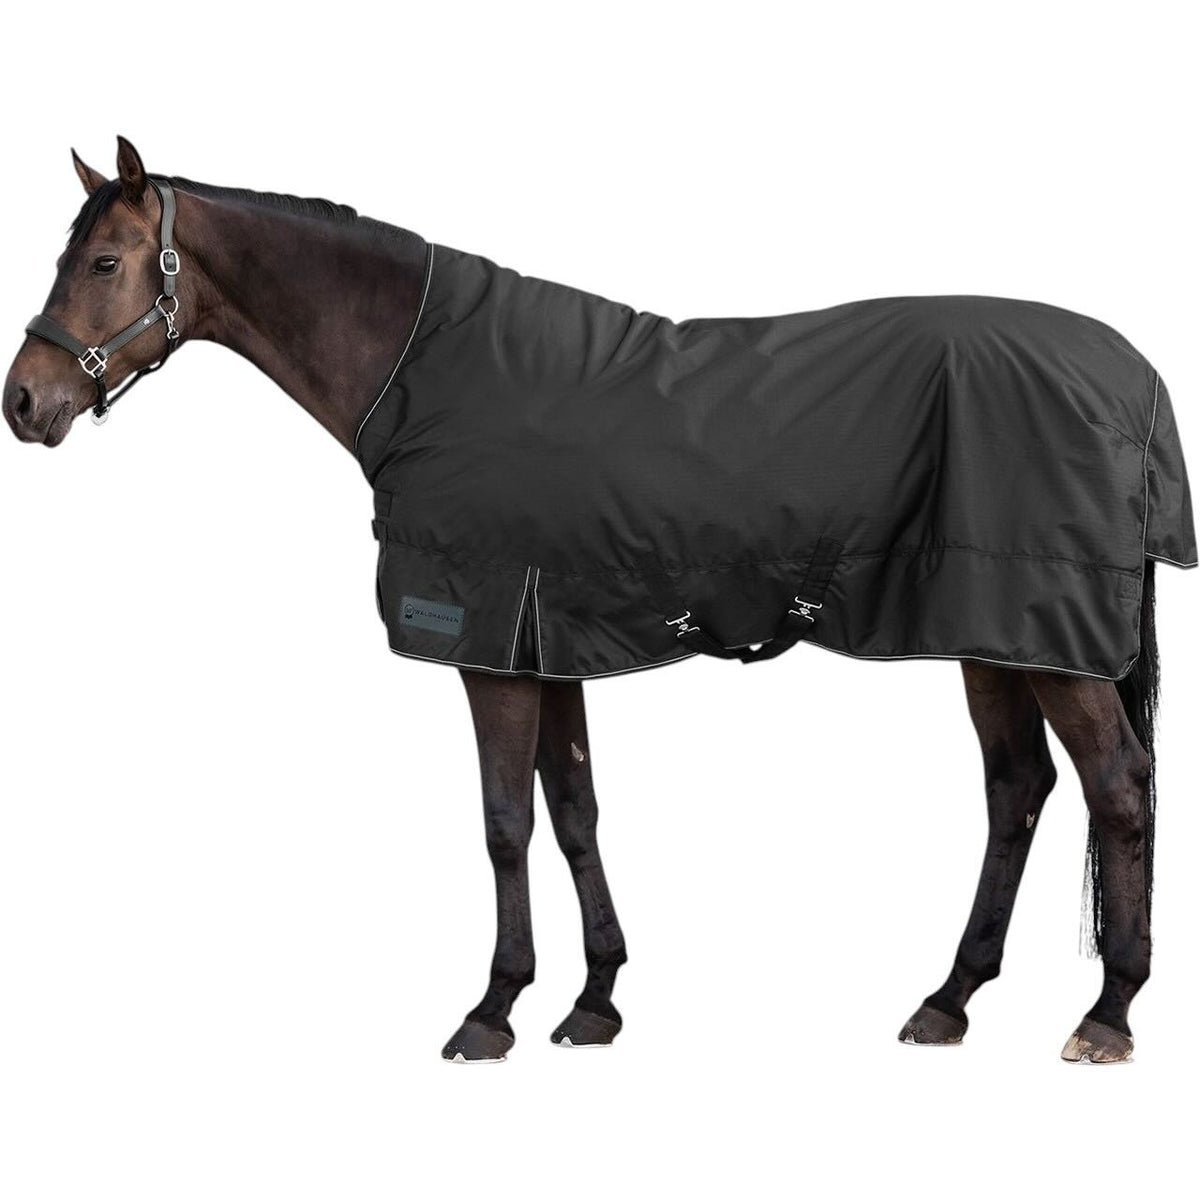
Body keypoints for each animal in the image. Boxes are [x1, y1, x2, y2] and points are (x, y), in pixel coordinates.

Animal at [5, 137, 1193, 1064]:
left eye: (102, 261)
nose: (25, 402)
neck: (424, 372)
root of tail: (1131, 376)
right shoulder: (552, 637)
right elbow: (573, 812)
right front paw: (594, 1000)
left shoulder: (488, 642)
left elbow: (505, 824)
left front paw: (492, 1010)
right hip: (993, 632)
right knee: (1019, 790)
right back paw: (949, 1000)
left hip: (1046, 643)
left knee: (1120, 789)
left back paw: (1109, 1013)